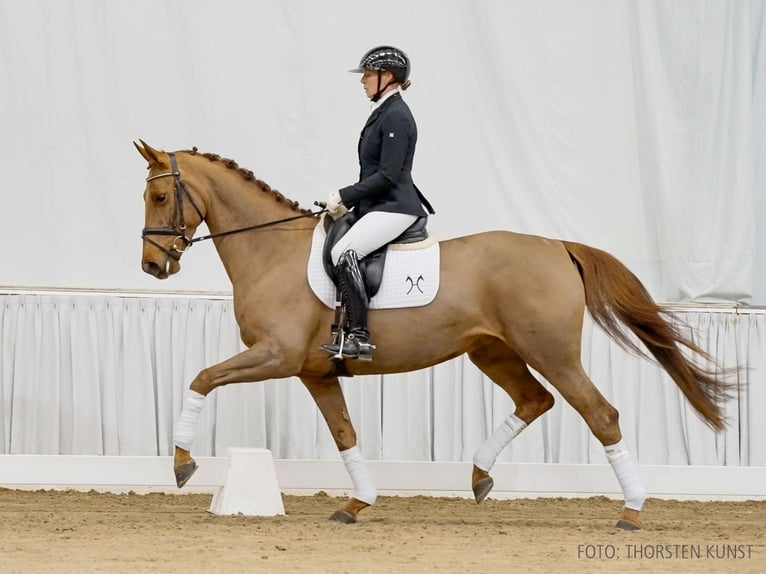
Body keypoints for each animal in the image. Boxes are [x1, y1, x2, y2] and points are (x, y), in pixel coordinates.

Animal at [136, 140, 736, 532]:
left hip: (551, 352)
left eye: (160, 199)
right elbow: (345, 434)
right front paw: (358, 503)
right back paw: (479, 477)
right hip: (492, 351)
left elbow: (201, 378)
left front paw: (183, 464)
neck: (271, 251)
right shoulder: (314, 371)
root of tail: (557, 245)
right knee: (534, 400)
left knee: (600, 414)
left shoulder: (275, 356)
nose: (152, 266)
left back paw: (631, 510)